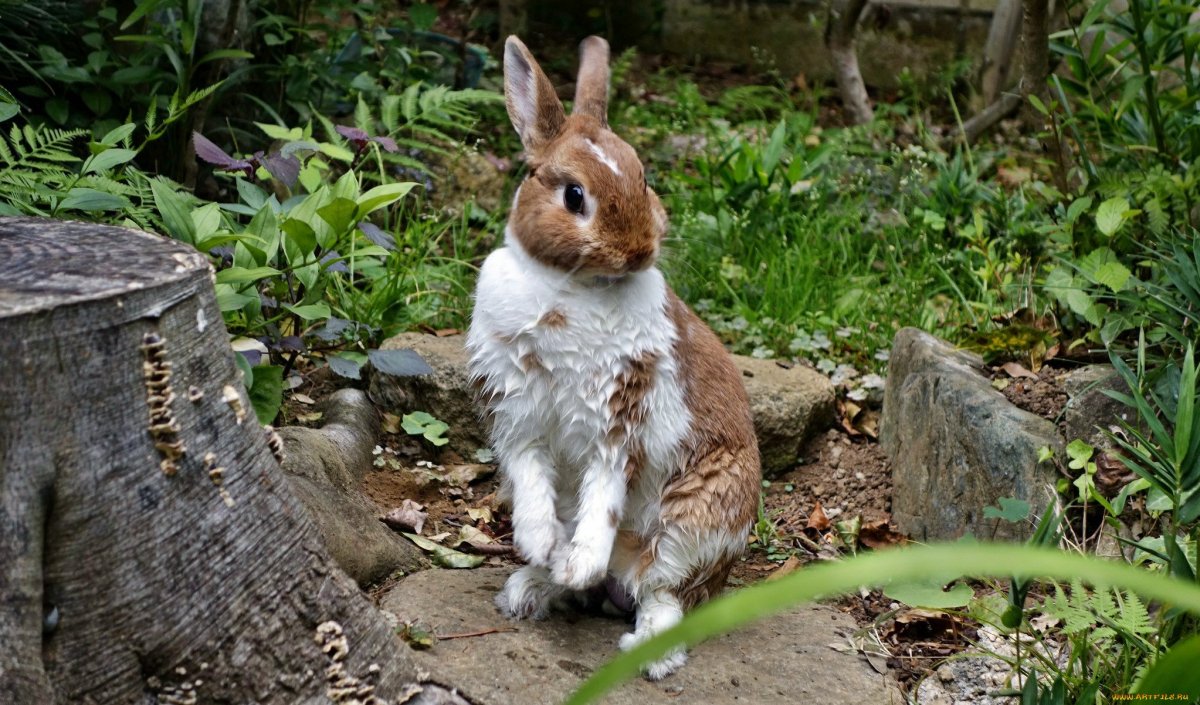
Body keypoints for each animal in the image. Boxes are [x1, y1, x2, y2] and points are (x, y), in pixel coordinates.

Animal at [465, 35, 760, 680]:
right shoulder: (519, 414)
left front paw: (577, 560)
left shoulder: (621, 416)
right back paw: (532, 586)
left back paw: (647, 650)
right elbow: (531, 480)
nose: (639, 250)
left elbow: (602, 497)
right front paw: (541, 545)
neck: (570, 288)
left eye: (644, 176)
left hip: (694, 523)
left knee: (663, 594)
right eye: (574, 195)